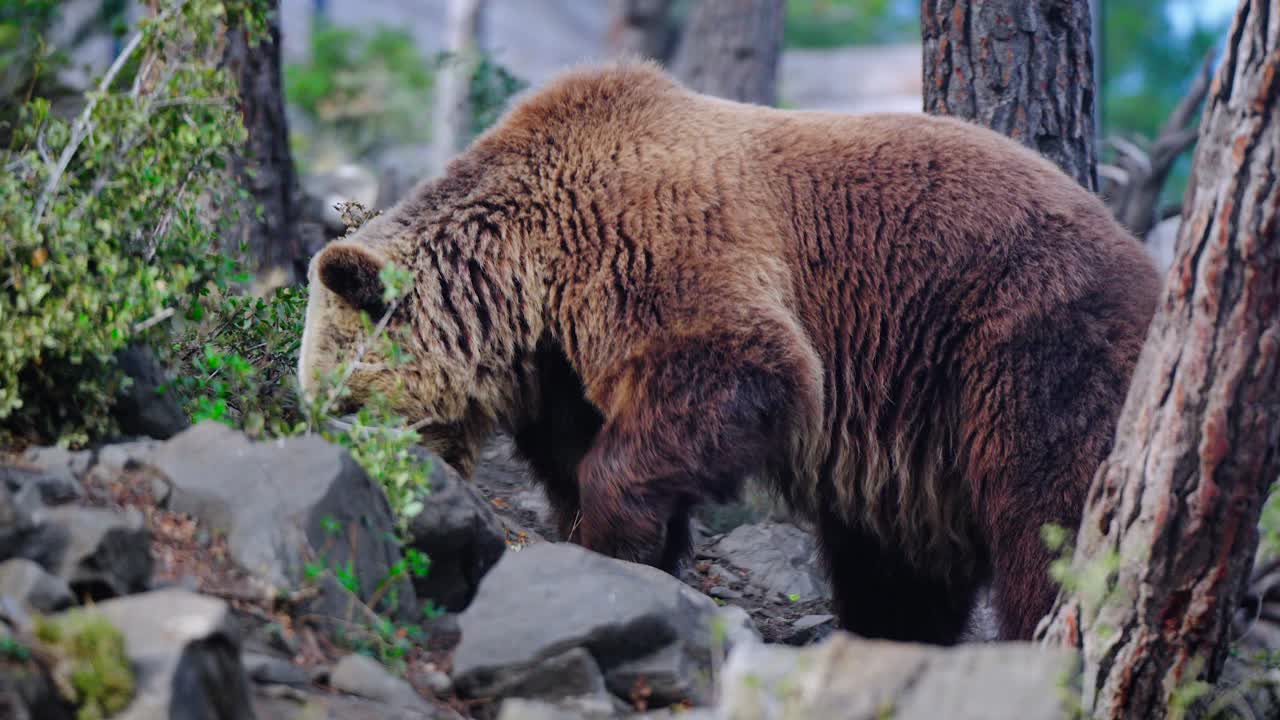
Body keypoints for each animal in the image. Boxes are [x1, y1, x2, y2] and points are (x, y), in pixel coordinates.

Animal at [296, 60, 1160, 643]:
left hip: (1024, 340)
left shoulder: (653, 243)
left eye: (345, 400)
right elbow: (588, 447)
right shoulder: (562, 361)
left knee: (1052, 511)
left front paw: (612, 543)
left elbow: (743, 363)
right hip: (915, 441)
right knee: (895, 567)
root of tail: (1147, 261)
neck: (525, 271)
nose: (376, 473)